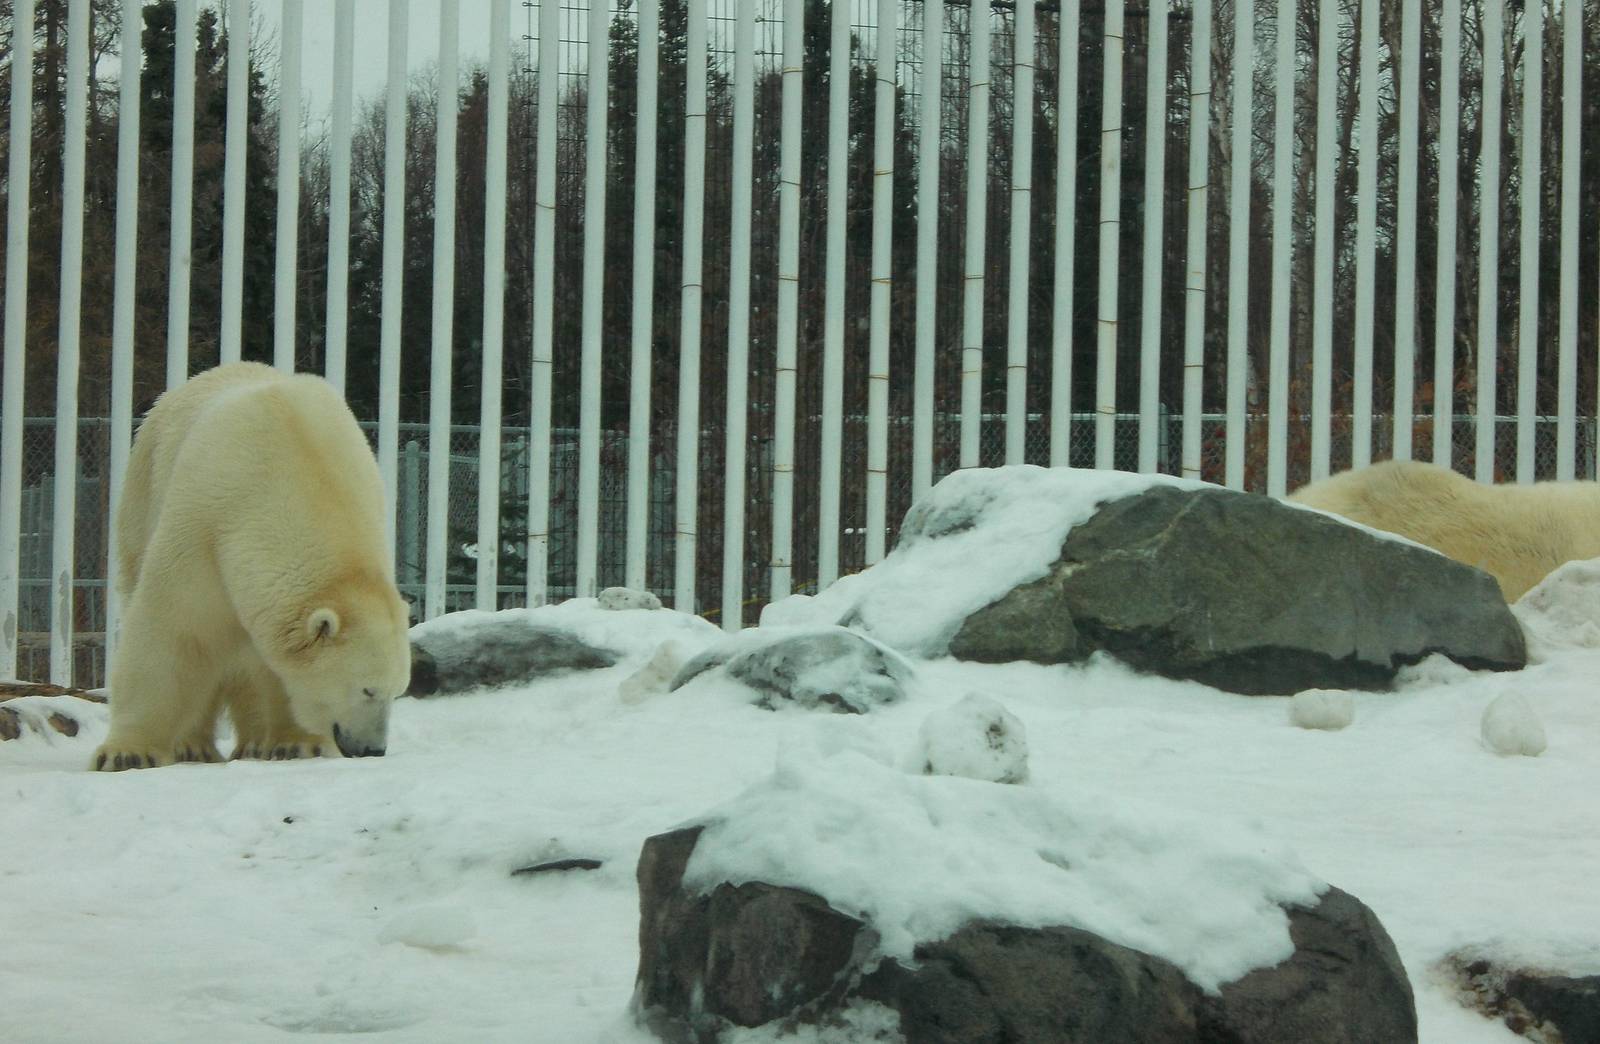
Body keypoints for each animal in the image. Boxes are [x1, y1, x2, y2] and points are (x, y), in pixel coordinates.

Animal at [92, 361, 413, 771]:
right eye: (368, 689)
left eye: (398, 691)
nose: (372, 749)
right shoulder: (204, 528)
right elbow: (174, 632)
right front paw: (128, 753)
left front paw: (297, 743)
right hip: (142, 493)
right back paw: (194, 747)